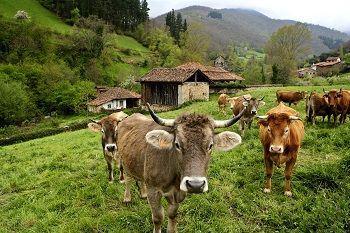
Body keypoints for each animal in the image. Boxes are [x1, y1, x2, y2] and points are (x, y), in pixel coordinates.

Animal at [116, 104, 245, 233]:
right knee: (128, 179)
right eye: (177, 144)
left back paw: (143, 194)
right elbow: (158, 217)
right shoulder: (153, 190)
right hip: (124, 161)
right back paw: (127, 198)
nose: (196, 185)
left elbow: (172, 214)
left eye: (210, 145)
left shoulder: (178, 192)